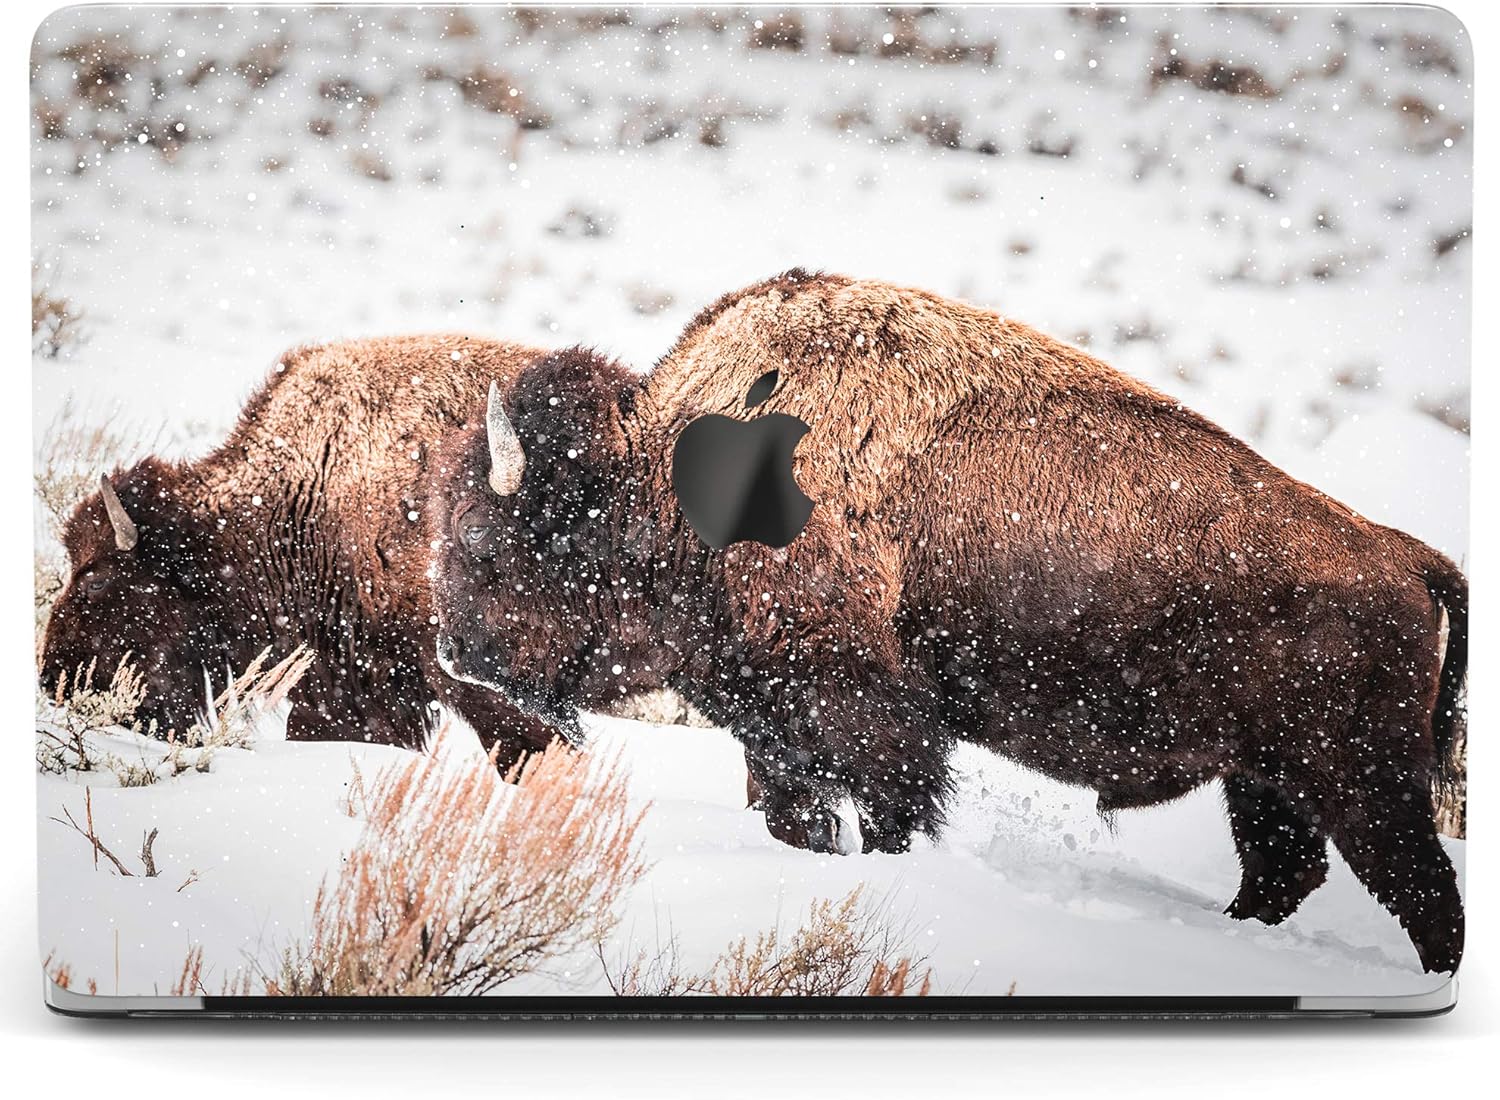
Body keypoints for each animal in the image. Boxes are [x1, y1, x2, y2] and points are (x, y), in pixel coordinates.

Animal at [426, 270, 1466, 972]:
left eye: (482, 535)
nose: (454, 653)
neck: (663, 480)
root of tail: (1407, 556)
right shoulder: (776, 724)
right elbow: (791, 812)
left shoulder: (866, 716)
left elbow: (894, 807)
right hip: (1267, 782)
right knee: (1283, 875)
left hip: (1363, 787)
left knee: (1425, 897)